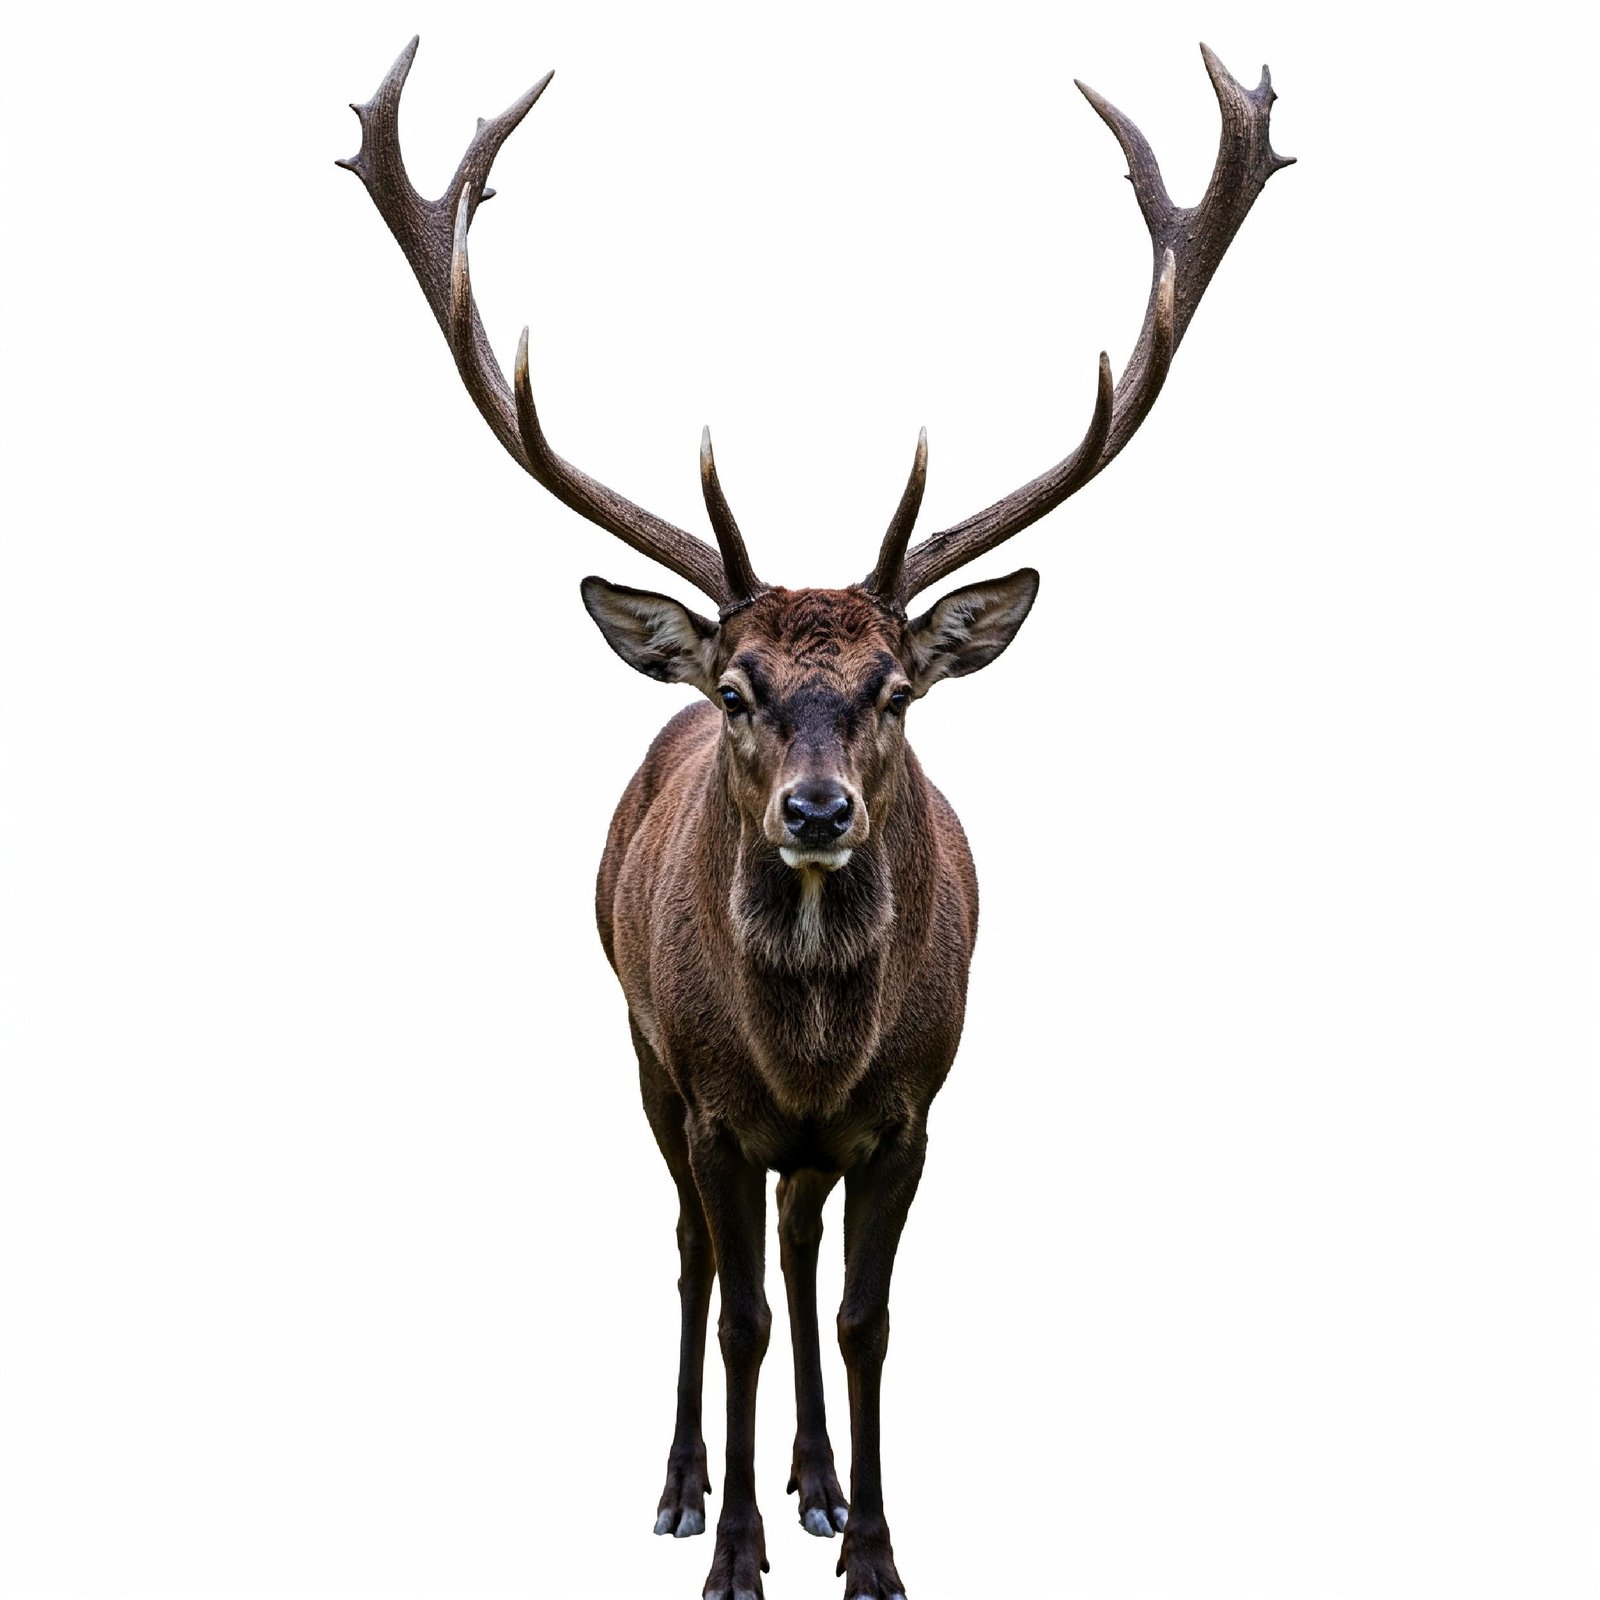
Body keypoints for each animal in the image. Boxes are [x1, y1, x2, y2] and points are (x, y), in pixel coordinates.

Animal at [339, 37, 1291, 1600]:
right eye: (738, 686)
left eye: (895, 686)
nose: (817, 805)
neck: (810, 1054)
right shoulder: (714, 1101)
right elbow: (734, 1313)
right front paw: (730, 1554)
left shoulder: (911, 1111)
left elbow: (861, 1320)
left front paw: (876, 1552)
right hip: (640, 1050)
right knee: (697, 1256)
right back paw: (684, 1486)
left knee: (793, 1249)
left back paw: (819, 1482)